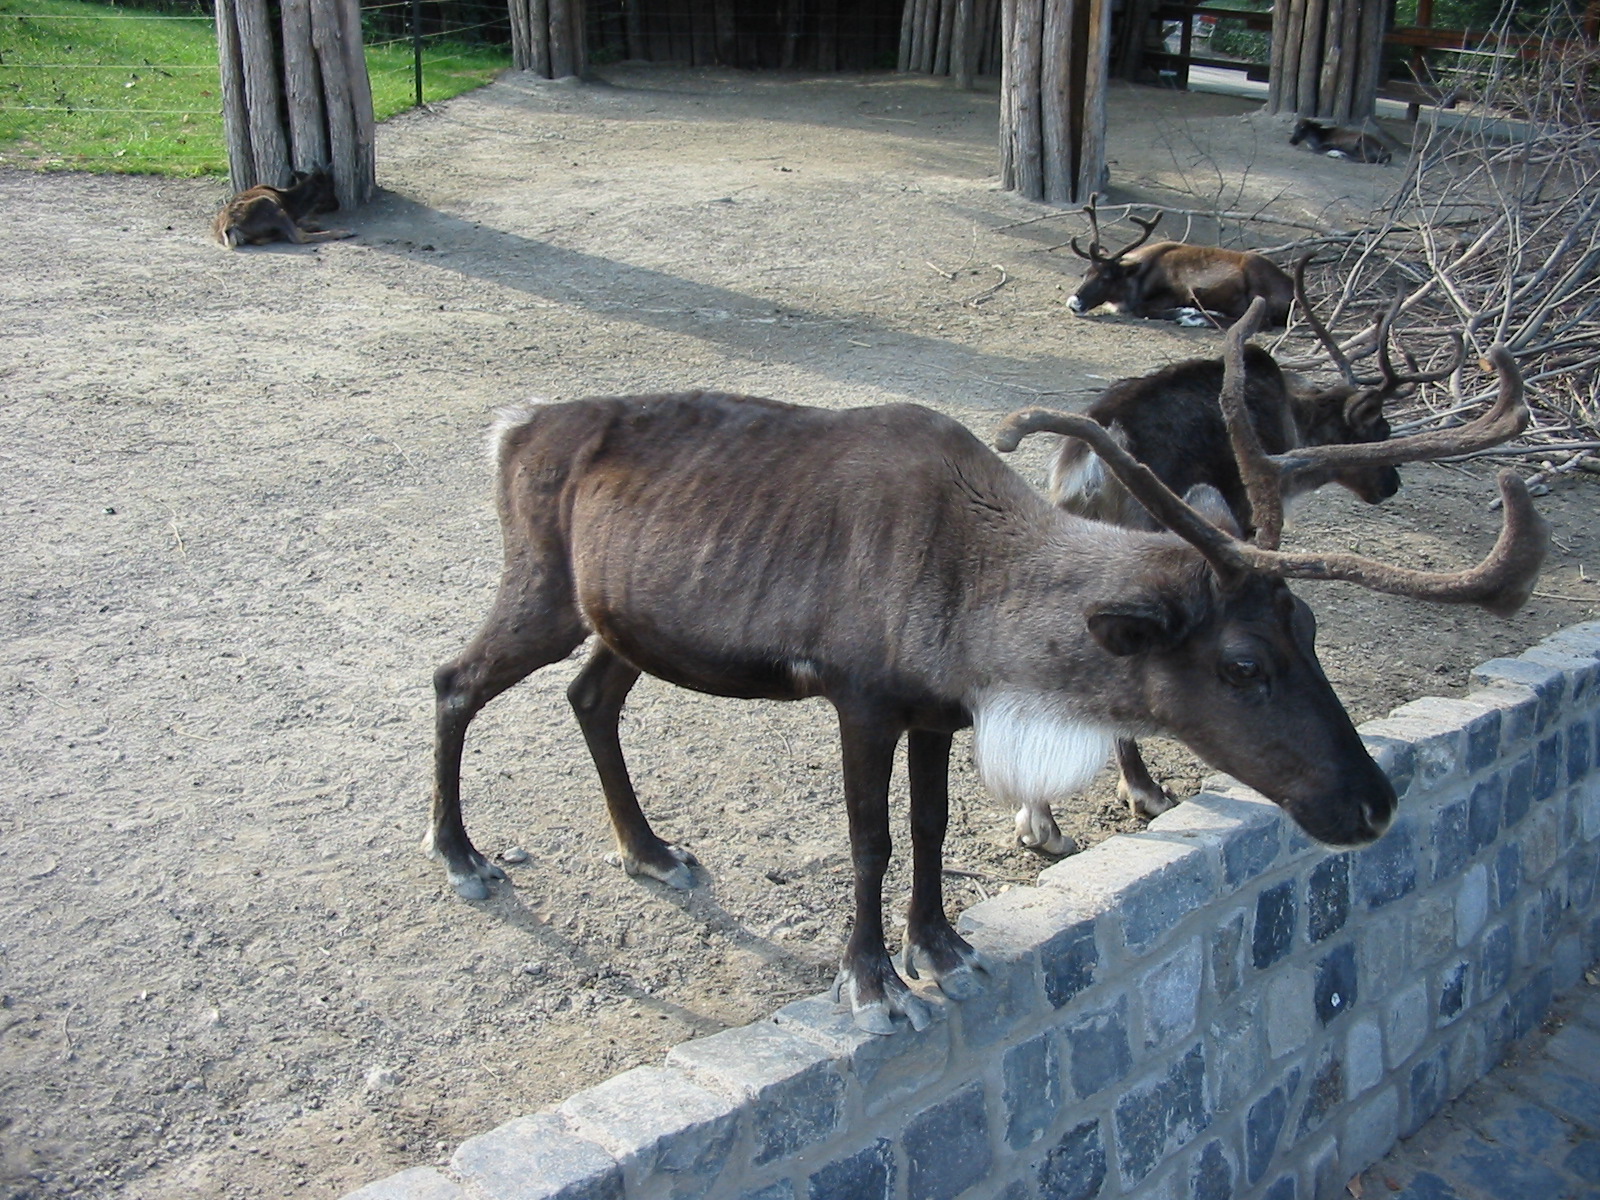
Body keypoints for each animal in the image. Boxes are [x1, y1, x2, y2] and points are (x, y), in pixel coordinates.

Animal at [213, 166, 353, 249]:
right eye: (330, 186)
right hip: (269, 206)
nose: (336, 204)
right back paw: (344, 232)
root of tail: (230, 228)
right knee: (298, 237)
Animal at [427, 300, 1543, 1034]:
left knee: (587, 695)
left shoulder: (936, 710)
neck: (975, 594)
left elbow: (929, 828)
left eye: (1309, 630)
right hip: (541, 588)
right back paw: (463, 856)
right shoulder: (862, 698)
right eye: (1240, 664)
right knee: (452, 681)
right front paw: (872, 981)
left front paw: (944, 951)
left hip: (624, 622)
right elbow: (871, 839)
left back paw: (651, 850)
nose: (1372, 803)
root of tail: (510, 428)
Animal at [1065, 199, 1294, 328]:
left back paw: (1197, 318)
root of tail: (1292, 290)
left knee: (1262, 322)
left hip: (1256, 277)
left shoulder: (1176, 293)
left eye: (1106, 277)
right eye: (1086, 273)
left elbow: (1143, 309)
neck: (1138, 278)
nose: (1073, 303)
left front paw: (1186, 312)